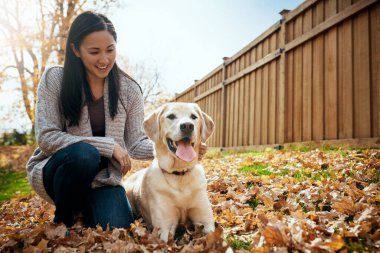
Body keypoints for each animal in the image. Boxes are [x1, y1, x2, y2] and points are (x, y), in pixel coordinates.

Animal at [124, 102, 215, 241]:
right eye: (171, 116)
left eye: (193, 117)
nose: (187, 126)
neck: (179, 174)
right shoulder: (164, 226)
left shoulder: (205, 219)